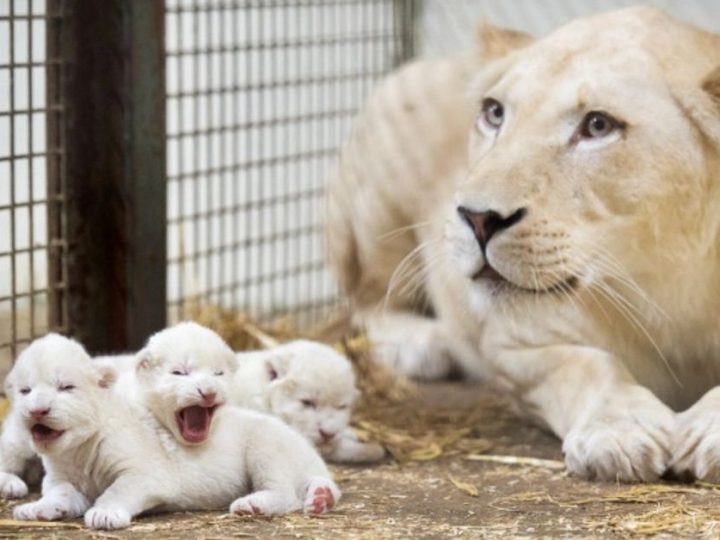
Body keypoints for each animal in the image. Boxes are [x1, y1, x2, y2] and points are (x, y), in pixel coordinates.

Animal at [330, 7, 720, 480]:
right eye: (494, 113)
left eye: (598, 125)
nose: (478, 218)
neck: (671, 285)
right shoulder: (514, 343)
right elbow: (587, 366)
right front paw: (619, 431)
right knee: (365, 300)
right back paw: (424, 345)